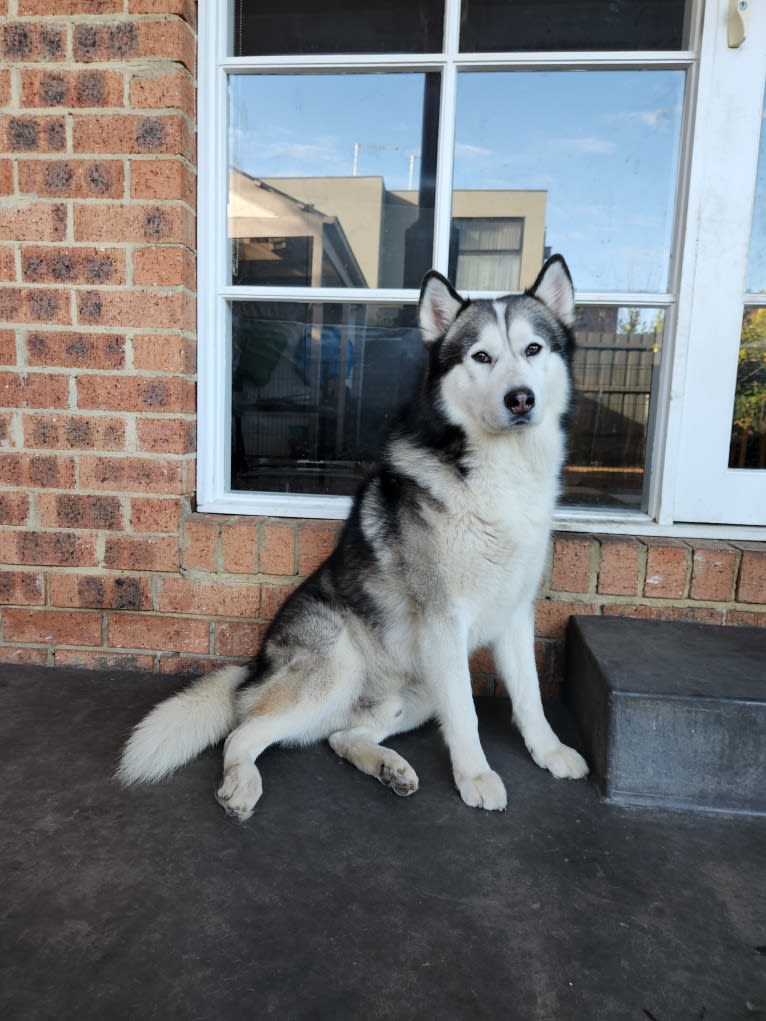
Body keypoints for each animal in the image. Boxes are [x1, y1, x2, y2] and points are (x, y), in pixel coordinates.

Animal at [118, 257, 588, 820]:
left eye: (533, 349)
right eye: (481, 356)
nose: (520, 398)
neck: (502, 472)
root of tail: (257, 666)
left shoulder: (515, 614)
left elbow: (530, 697)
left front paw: (550, 752)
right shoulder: (444, 620)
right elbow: (468, 715)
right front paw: (476, 776)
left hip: (416, 689)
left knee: (340, 737)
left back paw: (389, 767)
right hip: (339, 667)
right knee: (241, 734)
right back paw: (242, 785)